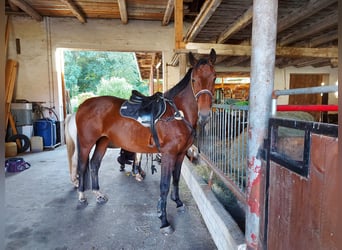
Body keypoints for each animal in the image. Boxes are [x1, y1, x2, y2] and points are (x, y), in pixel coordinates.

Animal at [76, 49, 218, 234]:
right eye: (194, 79)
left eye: (214, 77)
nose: (204, 115)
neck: (177, 114)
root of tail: (83, 105)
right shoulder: (168, 155)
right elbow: (164, 185)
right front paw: (164, 221)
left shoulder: (180, 155)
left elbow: (176, 178)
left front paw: (178, 203)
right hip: (86, 143)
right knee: (82, 166)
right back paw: (81, 197)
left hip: (103, 142)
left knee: (94, 164)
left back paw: (98, 195)